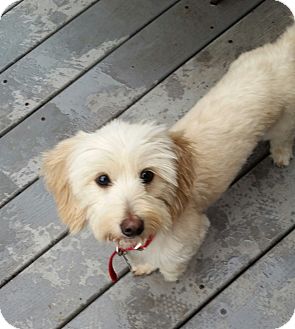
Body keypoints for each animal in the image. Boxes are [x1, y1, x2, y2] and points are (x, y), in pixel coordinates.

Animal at [42, 24, 295, 280]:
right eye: (102, 179)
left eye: (147, 175)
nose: (131, 227)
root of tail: (282, 50)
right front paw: (144, 265)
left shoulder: (191, 235)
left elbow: (171, 263)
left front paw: (169, 274)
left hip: (284, 122)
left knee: (282, 138)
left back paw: (281, 155)